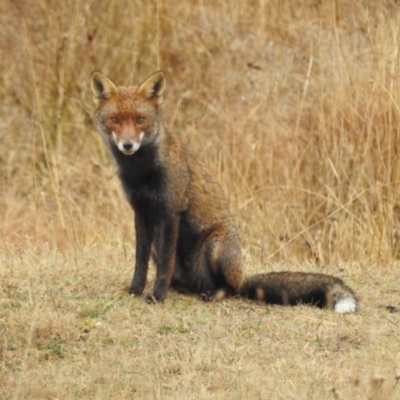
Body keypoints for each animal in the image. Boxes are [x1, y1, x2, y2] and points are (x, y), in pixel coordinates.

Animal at [91, 69, 360, 312]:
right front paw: (135, 290)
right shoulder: (141, 212)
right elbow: (140, 262)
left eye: (140, 120)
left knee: (229, 289)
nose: (128, 145)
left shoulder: (170, 212)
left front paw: (157, 297)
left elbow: (163, 268)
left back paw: (214, 294)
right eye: (116, 120)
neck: (141, 173)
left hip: (217, 245)